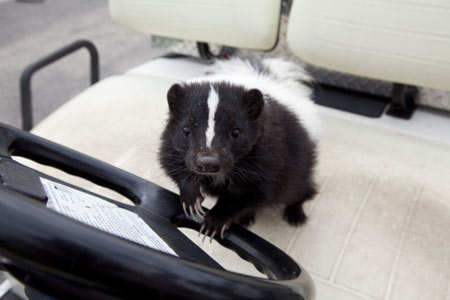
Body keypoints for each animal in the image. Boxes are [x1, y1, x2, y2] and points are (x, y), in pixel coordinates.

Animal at [159, 56, 320, 239]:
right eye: (186, 130)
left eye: (236, 132)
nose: (208, 162)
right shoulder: (172, 141)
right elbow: (172, 163)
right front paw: (191, 197)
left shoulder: (270, 153)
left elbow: (249, 192)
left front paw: (216, 220)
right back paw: (247, 217)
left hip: (299, 163)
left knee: (299, 189)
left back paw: (295, 214)